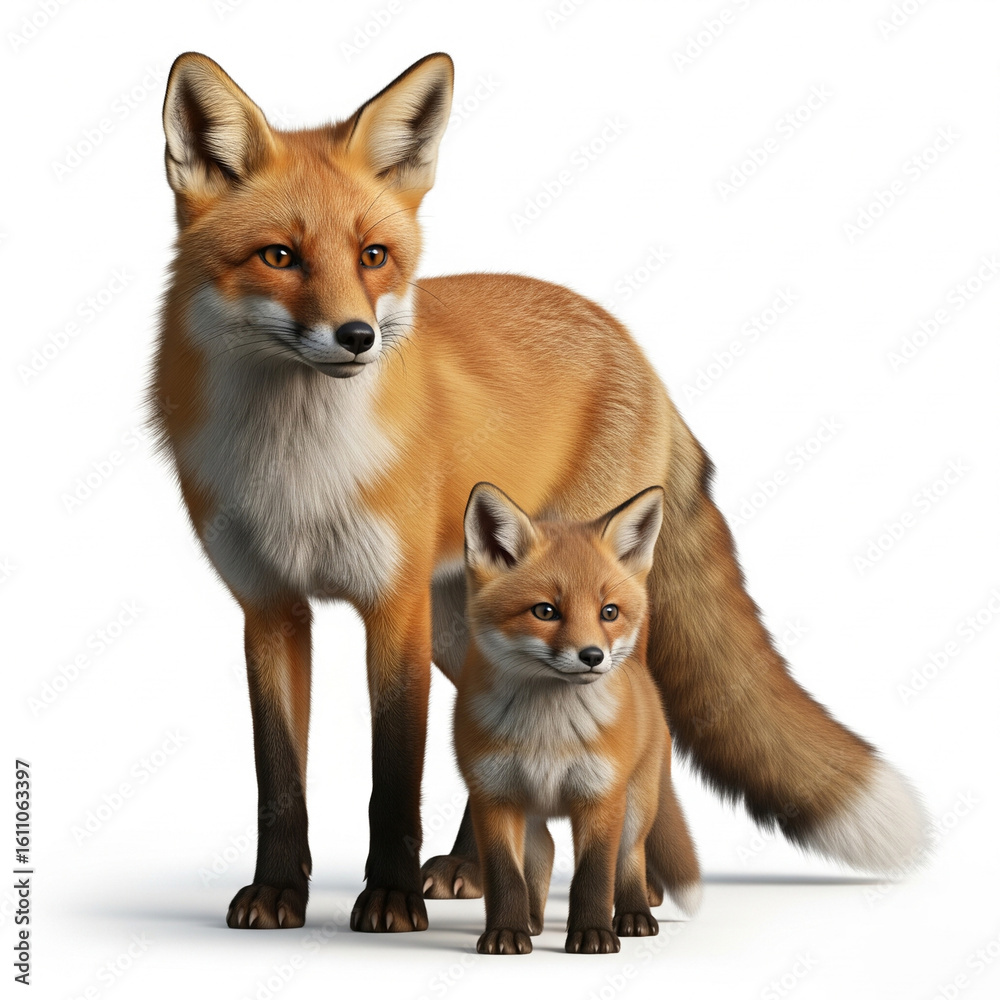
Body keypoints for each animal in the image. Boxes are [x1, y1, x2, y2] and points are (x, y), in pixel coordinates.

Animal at [455, 483, 700, 955]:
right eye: (545, 611)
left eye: (609, 612)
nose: (593, 656)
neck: (547, 732)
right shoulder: (493, 796)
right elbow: (504, 875)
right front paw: (505, 933)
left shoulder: (600, 796)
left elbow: (594, 874)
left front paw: (593, 935)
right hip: (531, 811)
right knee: (546, 850)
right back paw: (532, 921)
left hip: (637, 803)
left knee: (631, 856)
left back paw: (633, 915)